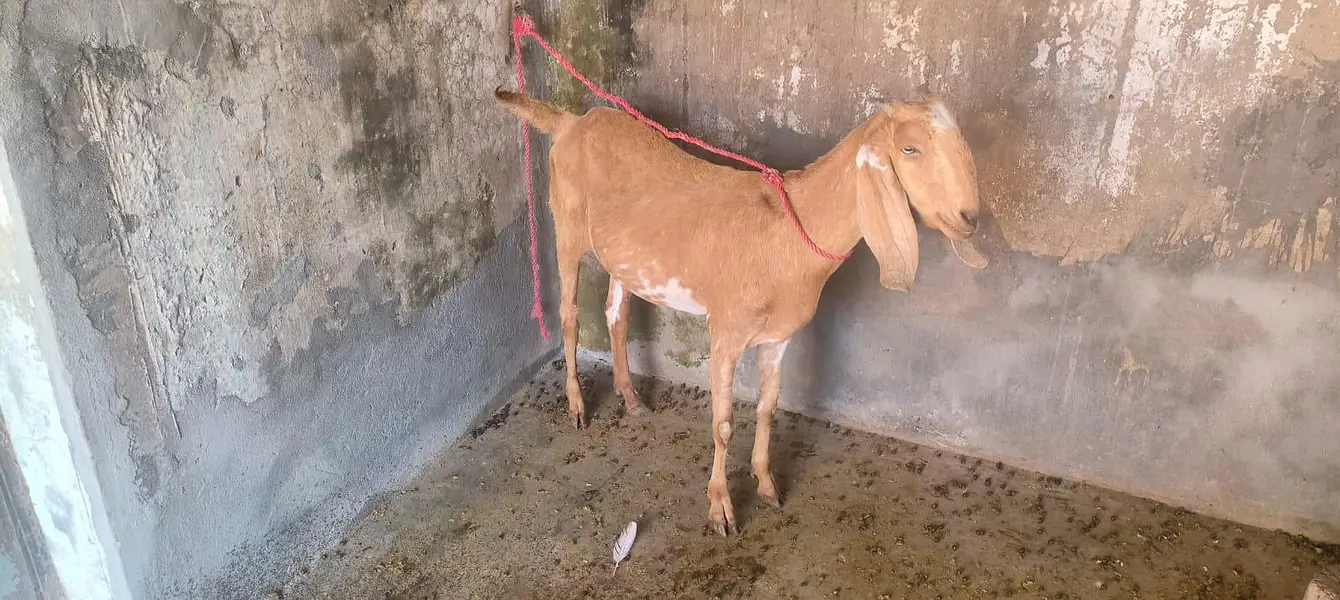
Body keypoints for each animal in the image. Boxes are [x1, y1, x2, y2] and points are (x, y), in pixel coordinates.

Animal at [495, 89, 982, 536]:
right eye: (909, 149)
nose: (970, 217)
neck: (788, 232)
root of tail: (571, 121)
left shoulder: (780, 336)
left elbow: (767, 408)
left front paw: (767, 485)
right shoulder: (725, 332)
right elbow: (724, 423)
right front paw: (721, 510)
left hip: (624, 259)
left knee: (616, 315)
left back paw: (631, 398)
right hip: (568, 228)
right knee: (570, 315)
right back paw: (577, 405)